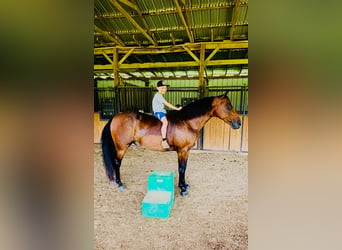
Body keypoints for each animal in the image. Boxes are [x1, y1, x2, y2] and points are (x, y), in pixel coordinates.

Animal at [100, 91, 242, 196]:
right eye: (228, 106)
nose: (239, 123)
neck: (187, 122)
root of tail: (115, 117)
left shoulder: (186, 151)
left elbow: (184, 167)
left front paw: (184, 185)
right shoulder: (182, 150)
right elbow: (181, 169)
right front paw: (183, 190)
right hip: (121, 147)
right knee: (117, 163)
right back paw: (120, 183)